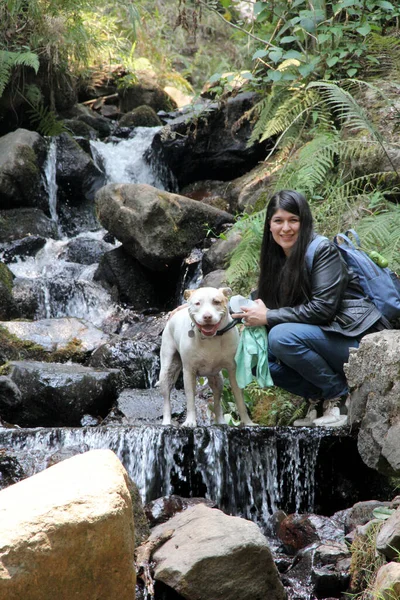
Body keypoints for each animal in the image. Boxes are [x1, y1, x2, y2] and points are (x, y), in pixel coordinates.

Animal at [159, 286, 253, 426]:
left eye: (216, 302)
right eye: (197, 303)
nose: (207, 316)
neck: (211, 338)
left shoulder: (233, 370)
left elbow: (240, 400)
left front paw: (247, 422)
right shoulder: (189, 372)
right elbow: (190, 399)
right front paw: (190, 421)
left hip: (217, 379)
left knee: (217, 401)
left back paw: (221, 421)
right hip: (167, 370)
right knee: (166, 398)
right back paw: (166, 422)